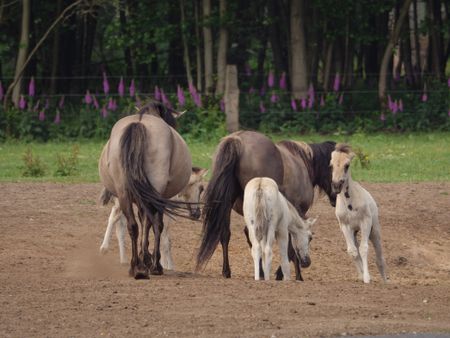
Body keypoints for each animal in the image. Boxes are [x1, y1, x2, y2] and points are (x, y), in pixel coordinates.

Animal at [98, 101, 192, 278]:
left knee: (133, 226)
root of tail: (139, 123)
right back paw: (150, 266)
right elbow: (156, 225)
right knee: (151, 223)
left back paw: (136, 266)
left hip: (124, 194)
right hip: (153, 194)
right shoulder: (161, 198)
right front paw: (152, 261)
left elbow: (142, 223)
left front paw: (144, 256)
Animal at [195, 131, 336, 282]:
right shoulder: (298, 212)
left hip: (228, 204)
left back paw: (228, 271)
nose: (337, 194)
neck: (304, 162)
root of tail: (237, 140)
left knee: (226, 234)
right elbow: (291, 246)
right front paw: (291, 274)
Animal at [328, 144, 388, 284]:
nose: (336, 185)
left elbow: (363, 249)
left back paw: (385, 280)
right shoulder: (345, 226)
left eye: (347, 165)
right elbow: (353, 251)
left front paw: (367, 278)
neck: (350, 202)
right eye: (331, 165)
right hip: (354, 232)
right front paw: (361, 275)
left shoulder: (365, 223)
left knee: (379, 257)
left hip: (374, 231)